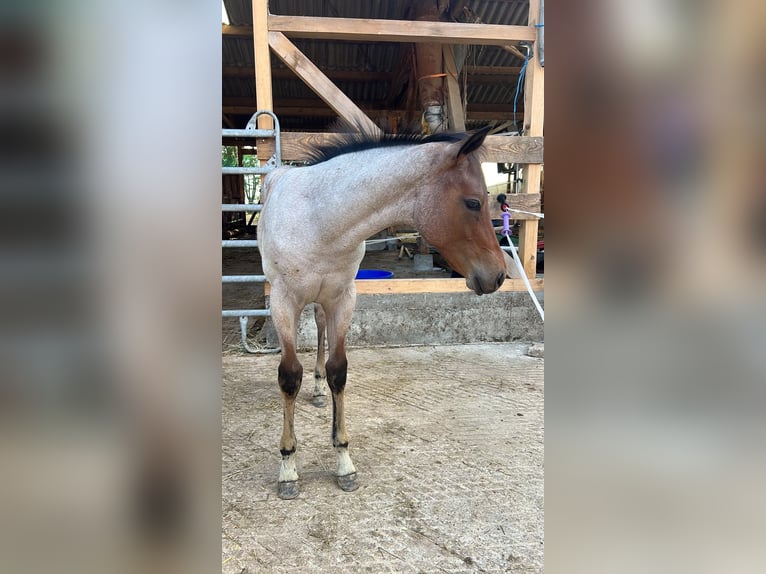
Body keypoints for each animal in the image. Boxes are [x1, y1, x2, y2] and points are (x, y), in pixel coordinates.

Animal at [257, 126, 507, 499]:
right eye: (473, 202)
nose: (499, 276)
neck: (319, 220)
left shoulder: (343, 299)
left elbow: (338, 371)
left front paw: (344, 462)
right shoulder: (283, 302)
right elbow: (289, 376)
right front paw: (288, 468)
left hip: (322, 303)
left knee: (319, 332)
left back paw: (317, 391)